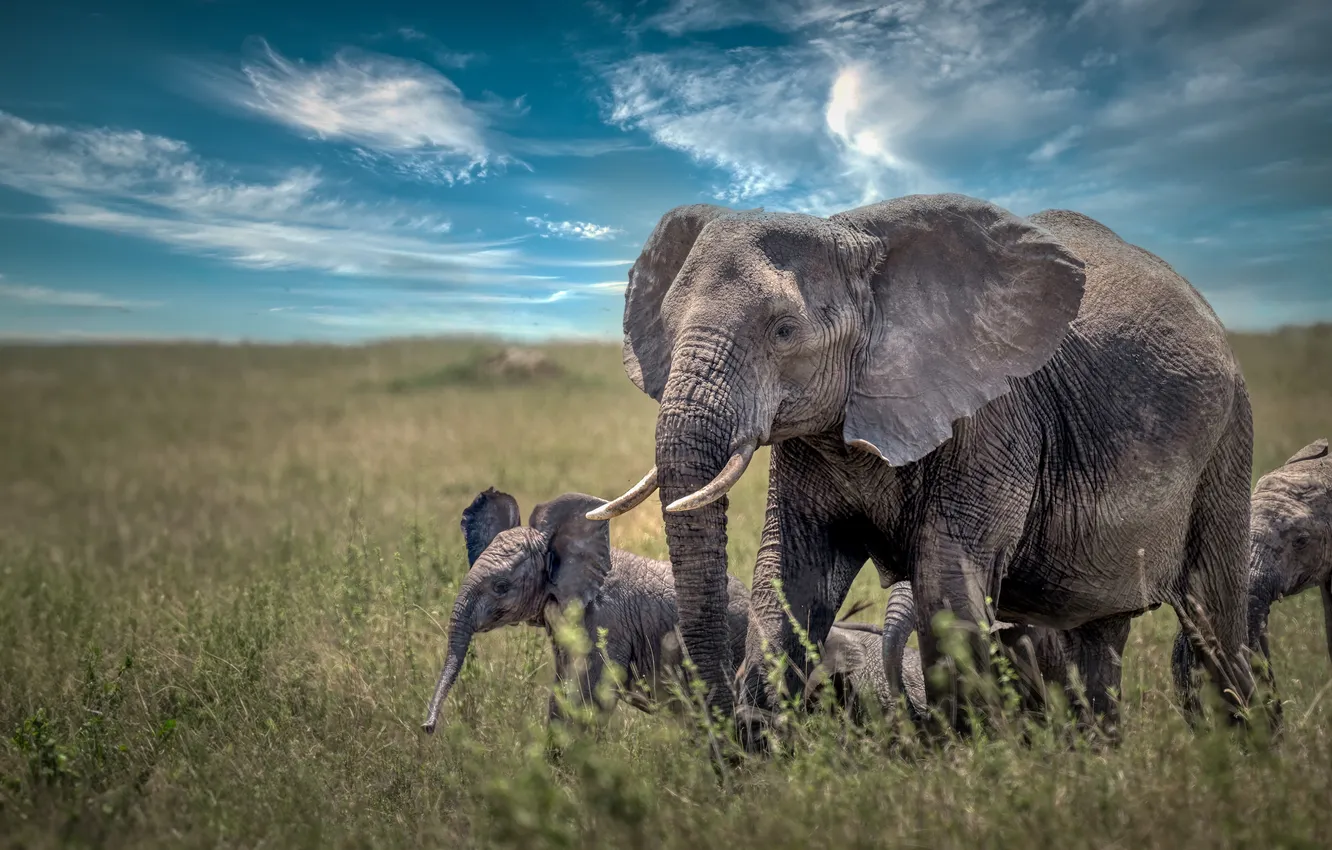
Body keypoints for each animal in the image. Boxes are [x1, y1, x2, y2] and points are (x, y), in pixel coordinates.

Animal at [587, 192, 1268, 749]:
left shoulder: (997, 419)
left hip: (1228, 436)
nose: (728, 729)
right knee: (1098, 643)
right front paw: (756, 769)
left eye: (783, 331)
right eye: (668, 327)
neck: (851, 233)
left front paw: (971, 770)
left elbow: (944, 581)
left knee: (1213, 617)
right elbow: (788, 573)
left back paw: (1251, 760)